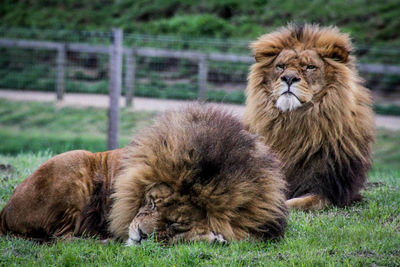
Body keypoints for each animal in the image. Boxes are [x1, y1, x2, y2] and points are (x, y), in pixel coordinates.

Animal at [0, 105, 288, 245]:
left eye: (174, 223)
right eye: (151, 203)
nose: (141, 236)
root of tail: (5, 212)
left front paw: (212, 237)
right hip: (75, 162)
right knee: (64, 239)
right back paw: (104, 241)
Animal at [242, 23, 376, 211]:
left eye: (310, 67)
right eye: (281, 66)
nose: (289, 78)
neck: (294, 123)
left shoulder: (329, 191)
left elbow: (293, 203)